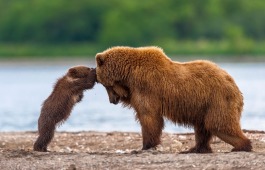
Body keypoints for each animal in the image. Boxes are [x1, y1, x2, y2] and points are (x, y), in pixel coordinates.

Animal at [94, 46, 250, 153]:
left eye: (104, 85)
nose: (112, 100)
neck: (128, 74)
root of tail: (234, 84)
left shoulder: (145, 87)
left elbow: (148, 117)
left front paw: (146, 145)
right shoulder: (135, 90)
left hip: (217, 99)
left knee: (218, 124)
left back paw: (241, 146)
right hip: (204, 106)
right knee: (202, 127)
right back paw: (195, 148)